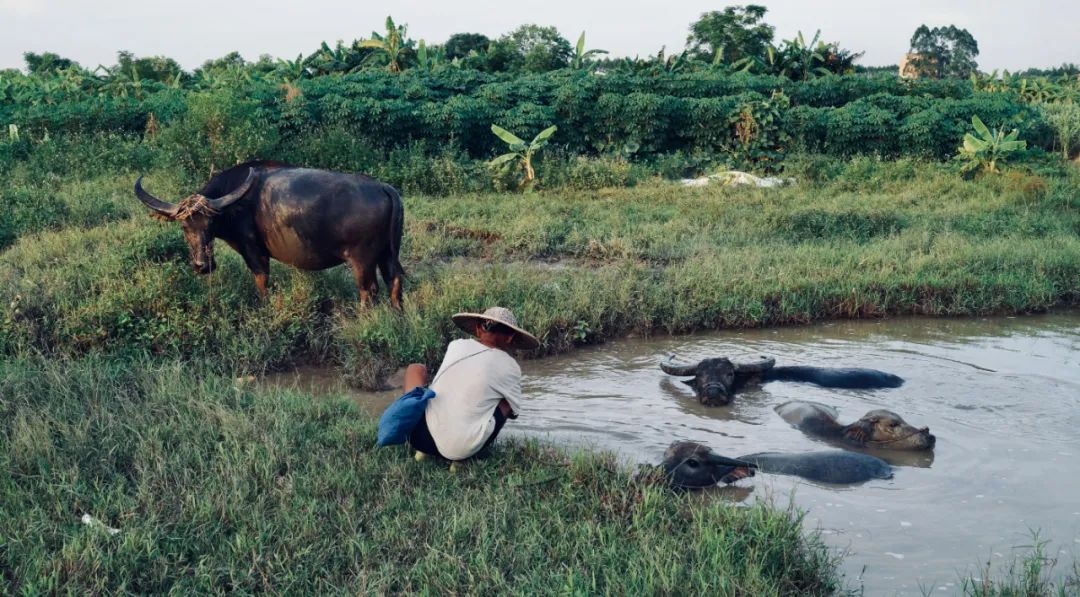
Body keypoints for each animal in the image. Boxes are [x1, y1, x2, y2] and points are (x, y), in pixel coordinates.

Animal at [135, 160, 406, 306]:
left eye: (210, 224)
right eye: (184, 226)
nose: (203, 266)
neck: (234, 205)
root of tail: (384, 188)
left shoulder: (254, 253)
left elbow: (262, 283)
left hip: (362, 260)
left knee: (368, 290)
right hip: (387, 254)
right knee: (394, 282)